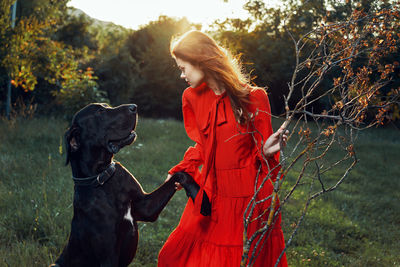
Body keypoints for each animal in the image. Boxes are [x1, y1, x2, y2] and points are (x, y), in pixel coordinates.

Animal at [50, 104, 209, 267]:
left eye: (106, 106)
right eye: (100, 111)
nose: (134, 107)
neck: (103, 178)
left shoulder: (146, 207)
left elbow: (180, 175)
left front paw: (202, 200)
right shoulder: (109, 256)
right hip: (56, 264)